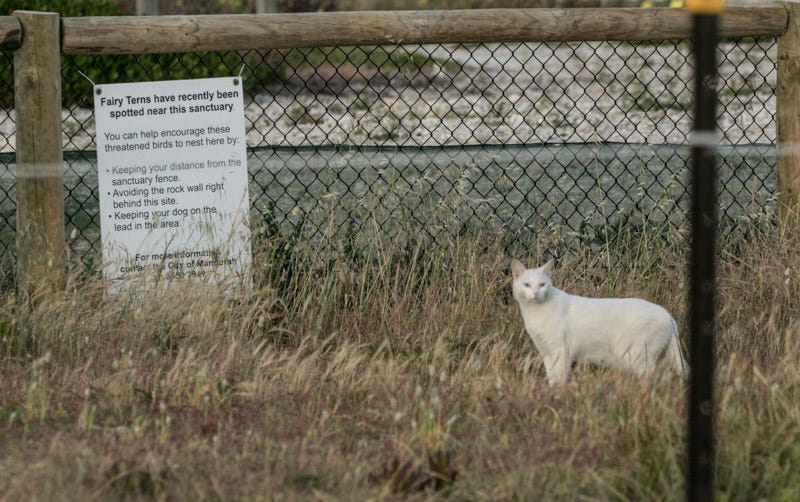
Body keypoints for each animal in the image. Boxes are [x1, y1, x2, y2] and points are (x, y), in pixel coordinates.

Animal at [512, 258, 688, 384]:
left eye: (542, 284)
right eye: (527, 285)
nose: (536, 293)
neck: (536, 313)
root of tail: (668, 315)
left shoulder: (561, 351)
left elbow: (560, 378)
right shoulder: (547, 353)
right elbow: (552, 378)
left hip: (635, 356)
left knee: (655, 378)